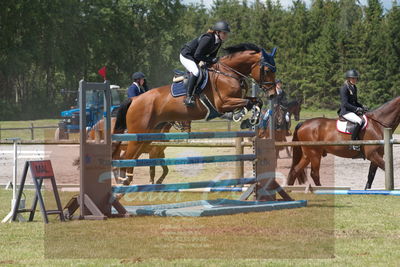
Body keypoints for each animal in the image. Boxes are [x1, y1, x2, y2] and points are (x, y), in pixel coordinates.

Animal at [112, 44, 276, 186]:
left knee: (130, 158)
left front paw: (250, 120)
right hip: (138, 134)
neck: (228, 73)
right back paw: (124, 181)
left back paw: (126, 181)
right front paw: (243, 117)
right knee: (126, 157)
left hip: (148, 136)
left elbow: (256, 101)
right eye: (267, 70)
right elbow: (247, 103)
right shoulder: (223, 103)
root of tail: (135, 100)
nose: (273, 94)